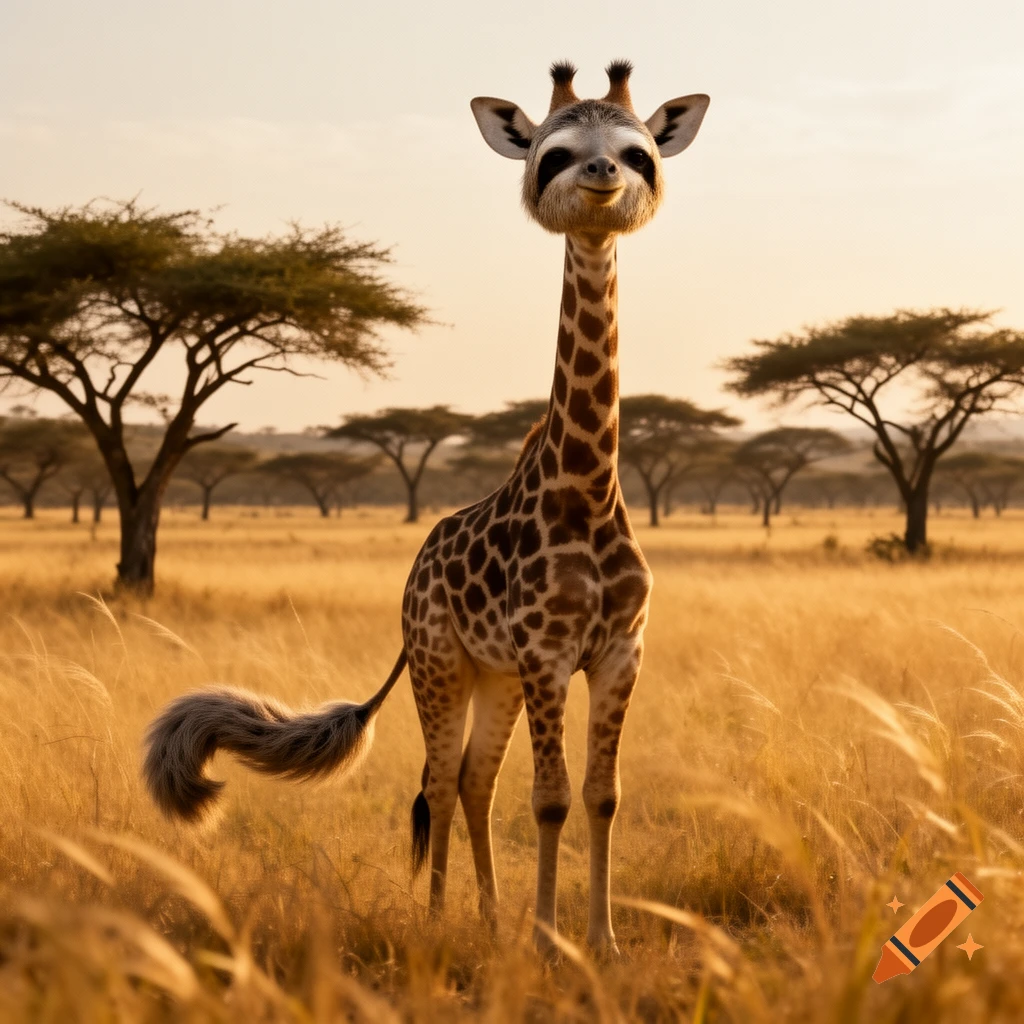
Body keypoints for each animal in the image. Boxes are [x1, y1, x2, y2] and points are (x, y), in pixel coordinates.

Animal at [142, 61, 709, 953]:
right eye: (552, 153)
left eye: (638, 151)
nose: (601, 178)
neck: (587, 491)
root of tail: (416, 567)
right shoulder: (548, 654)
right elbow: (550, 799)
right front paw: (548, 944)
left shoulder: (621, 651)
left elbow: (601, 795)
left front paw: (601, 942)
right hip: (443, 663)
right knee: (442, 782)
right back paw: (446, 917)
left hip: (493, 675)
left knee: (476, 781)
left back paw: (486, 915)